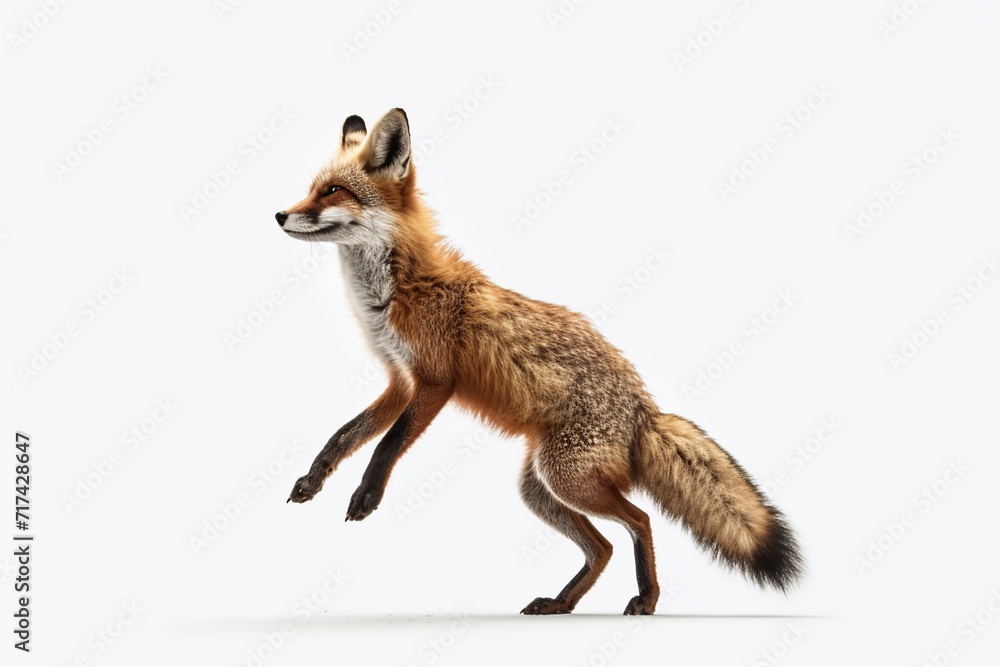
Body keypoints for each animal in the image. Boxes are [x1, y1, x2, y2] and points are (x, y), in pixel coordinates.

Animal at [278, 108, 803, 615]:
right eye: (313, 188)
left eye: (333, 191)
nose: (280, 214)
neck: (398, 290)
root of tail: (645, 409)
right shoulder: (400, 381)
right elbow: (346, 435)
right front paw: (313, 479)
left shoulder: (435, 381)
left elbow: (387, 444)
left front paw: (367, 496)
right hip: (541, 488)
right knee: (603, 547)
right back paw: (562, 603)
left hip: (566, 478)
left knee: (641, 520)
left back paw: (647, 600)